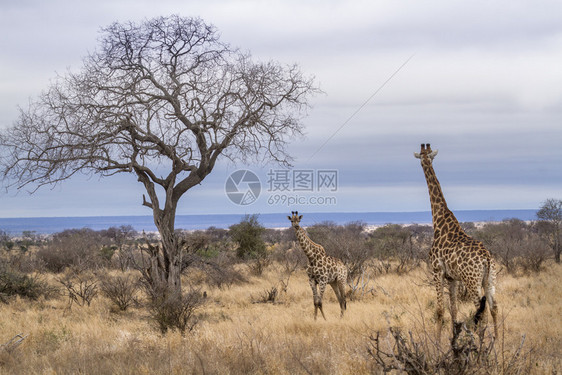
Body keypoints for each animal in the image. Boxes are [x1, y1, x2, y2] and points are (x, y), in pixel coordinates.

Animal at [412, 145, 498, 340]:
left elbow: (440, 310)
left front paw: (437, 342)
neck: (439, 222)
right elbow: (454, 310)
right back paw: (498, 340)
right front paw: (454, 338)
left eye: (423, 158)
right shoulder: (452, 278)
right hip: (489, 279)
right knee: (494, 307)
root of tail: (487, 259)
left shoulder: (437, 270)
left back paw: (481, 342)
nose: (424, 163)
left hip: (472, 281)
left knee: (480, 311)